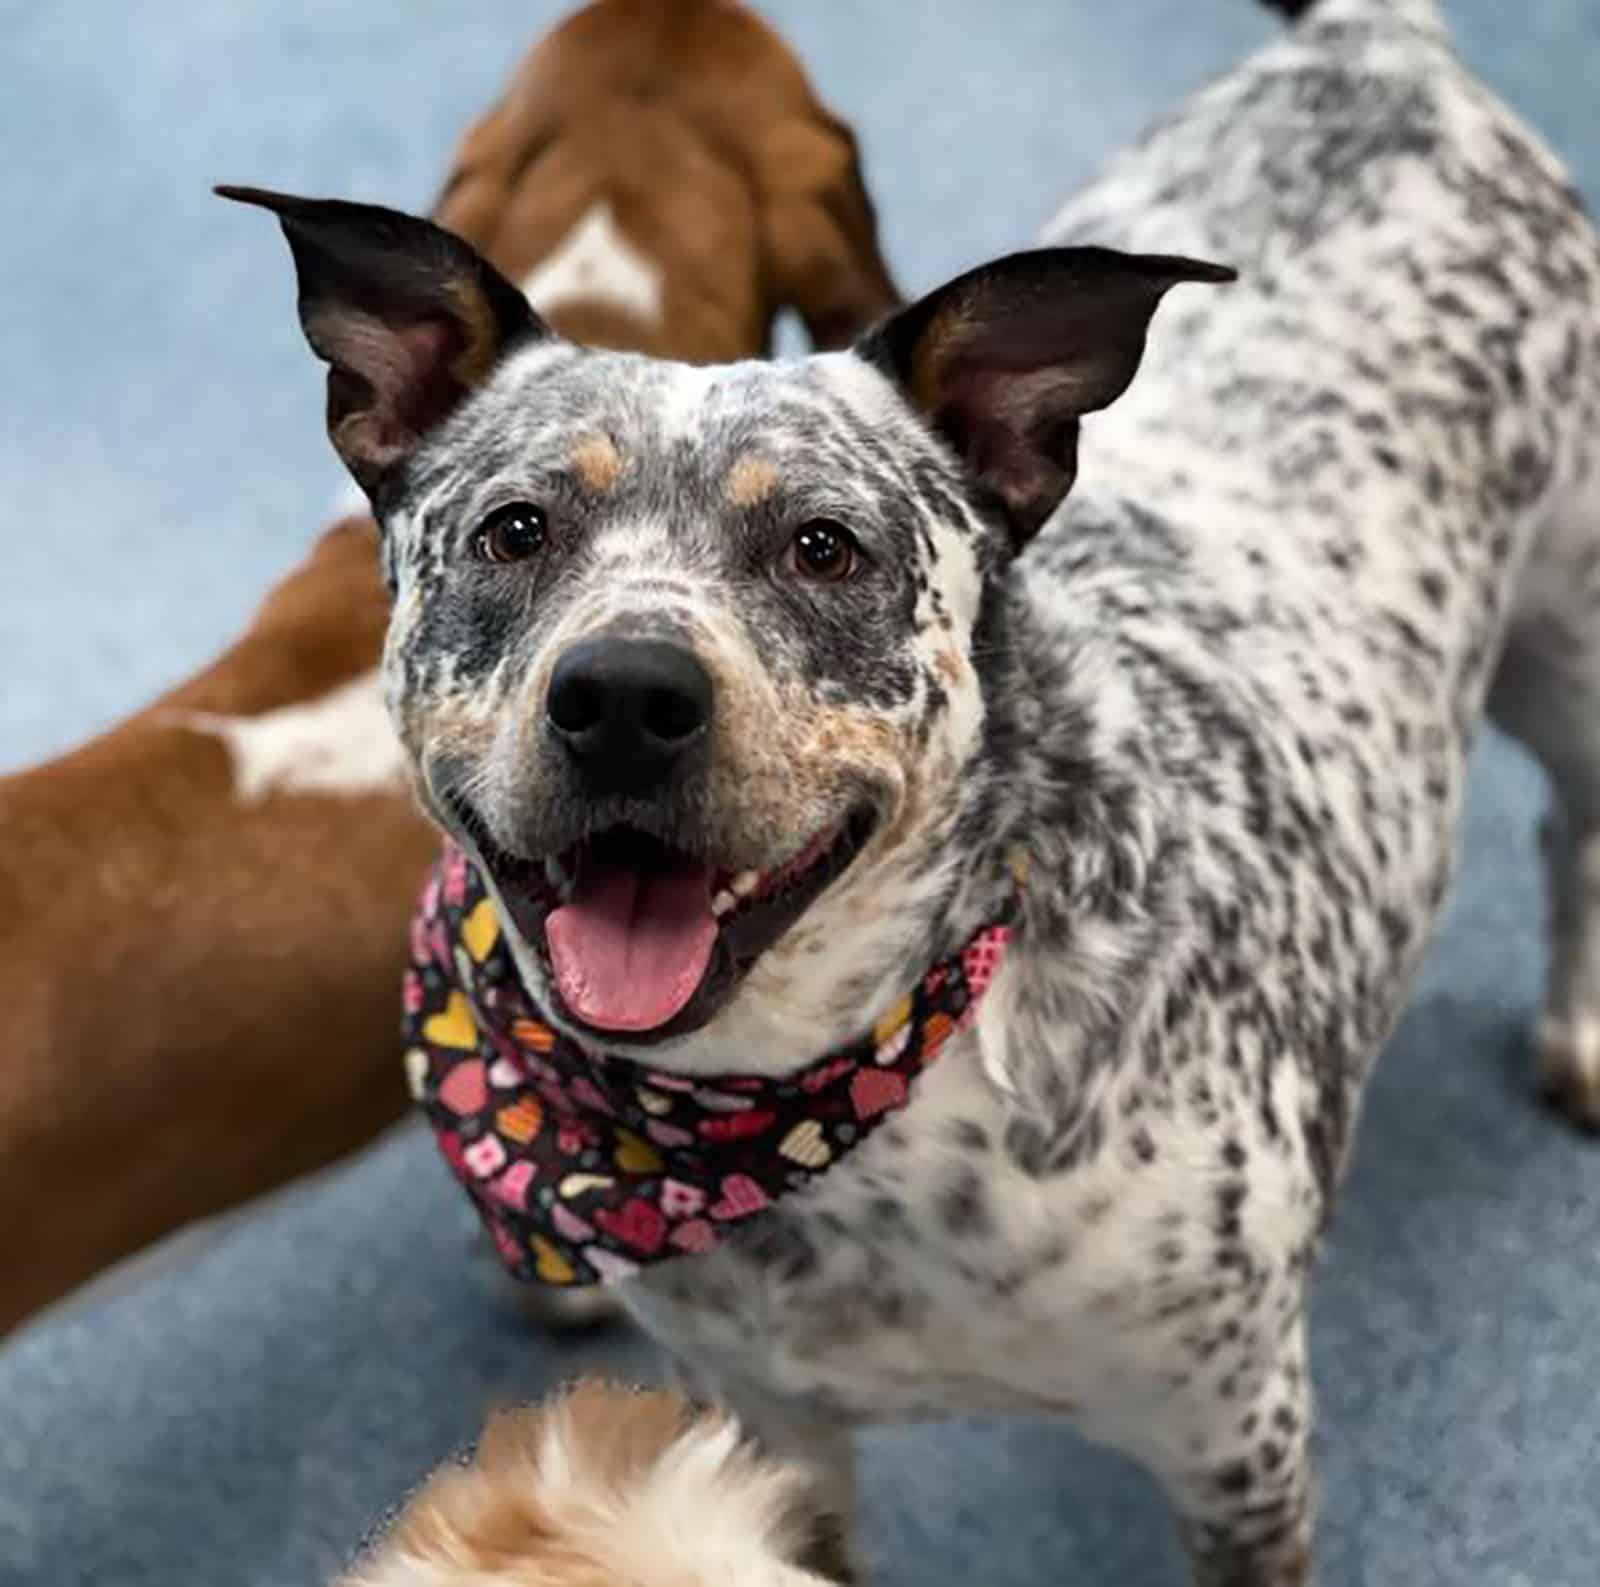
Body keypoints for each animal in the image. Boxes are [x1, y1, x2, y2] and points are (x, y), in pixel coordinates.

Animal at [228, 0, 1600, 1580]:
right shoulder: (763, 1430)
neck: (818, 1116)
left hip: (1574, 649)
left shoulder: (1239, 1441)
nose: (624, 696)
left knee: (1574, 831)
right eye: (516, 530)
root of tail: (1380, 44)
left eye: (825, 546)